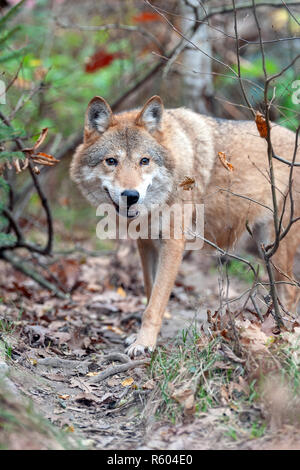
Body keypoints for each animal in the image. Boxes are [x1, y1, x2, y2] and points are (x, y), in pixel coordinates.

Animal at [70, 96, 300, 360]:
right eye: (111, 161)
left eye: (144, 161)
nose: (131, 195)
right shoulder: (146, 243)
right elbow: (150, 293)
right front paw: (141, 337)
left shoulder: (173, 242)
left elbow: (156, 303)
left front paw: (144, 343)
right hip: (266, 246)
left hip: (277, 246)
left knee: (291, 290)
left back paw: (284, 336)